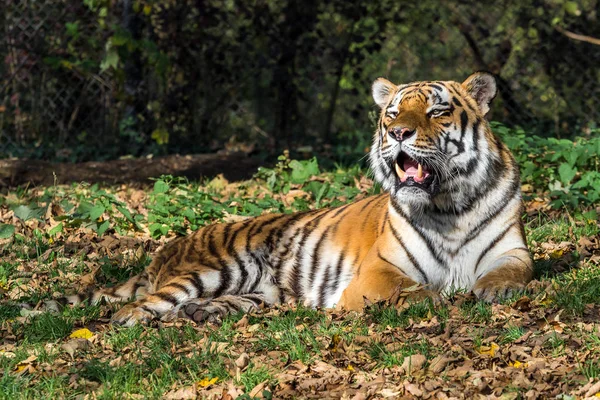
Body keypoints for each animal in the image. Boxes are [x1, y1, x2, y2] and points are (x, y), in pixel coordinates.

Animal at [59, 72, 528, 328]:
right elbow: (410, 288)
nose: (398, 133)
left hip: (260, 292)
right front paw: (434, 296)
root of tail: (169, 248)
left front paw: (495, 289)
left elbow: (512, 273)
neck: (449, 207)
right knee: (143, 304)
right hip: (217, 269)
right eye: (393, 113)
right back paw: (133, 319)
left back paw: (202, 314)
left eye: (437, 112)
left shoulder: (514, 251)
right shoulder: (378, 271)